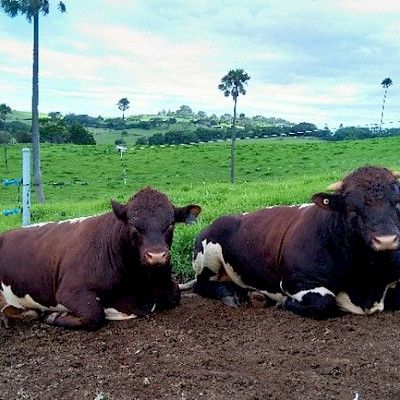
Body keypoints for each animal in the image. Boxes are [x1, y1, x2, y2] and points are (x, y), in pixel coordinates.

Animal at [0, 189, 200, 330]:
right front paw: (54, 317)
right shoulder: (69, 290)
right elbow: (94, 314)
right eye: (133, 226)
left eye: (171, 224)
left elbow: (175, 294)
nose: (157, 256)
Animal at [189, 166, 400, 318]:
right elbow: (325, 301)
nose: (386, 240)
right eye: (350, 208)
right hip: (208, 256)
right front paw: (284, 303)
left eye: (397, 202)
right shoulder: (294, 281)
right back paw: (230, 294)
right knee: (201, 284)